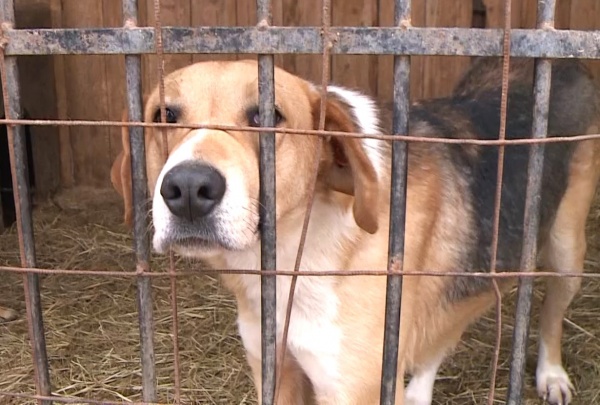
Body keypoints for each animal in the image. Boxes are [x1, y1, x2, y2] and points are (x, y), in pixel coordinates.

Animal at [111, 57, 600, 404]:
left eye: (268, 115)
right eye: (164, 115)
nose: (189, 189)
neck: (294, 257)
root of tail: (562, 61)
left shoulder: (354, 385)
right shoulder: (275, 369)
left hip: (565, 249)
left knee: (551, 311)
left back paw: (552, 375)